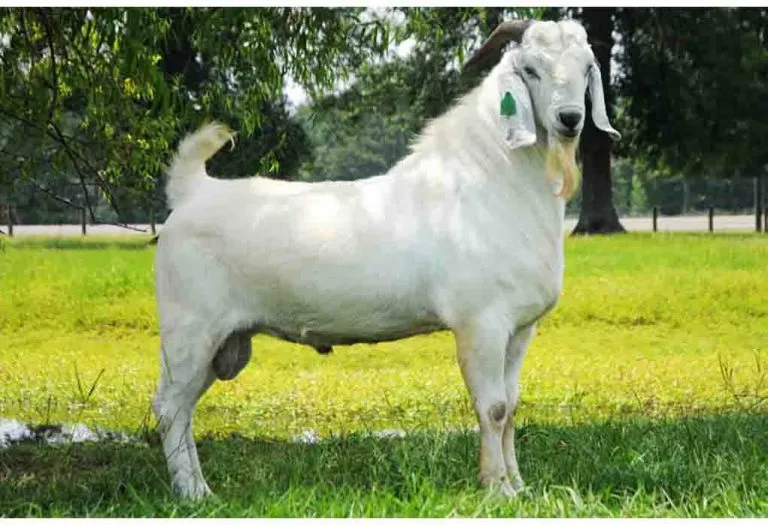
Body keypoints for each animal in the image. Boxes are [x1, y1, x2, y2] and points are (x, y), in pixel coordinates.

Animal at [152, 18, 620, 500]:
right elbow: (491, 407)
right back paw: (192, 492)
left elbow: (511, 406)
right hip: (190, 331)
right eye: (530, 69)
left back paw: (199, 488)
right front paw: (496, 489)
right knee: (169, 407)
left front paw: (519, 486)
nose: (570, 119)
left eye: (587, 67)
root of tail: (194, 191)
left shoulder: (521, 329)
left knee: (183, 408)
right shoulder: (481, 323)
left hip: (221, 342)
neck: (491, 183)